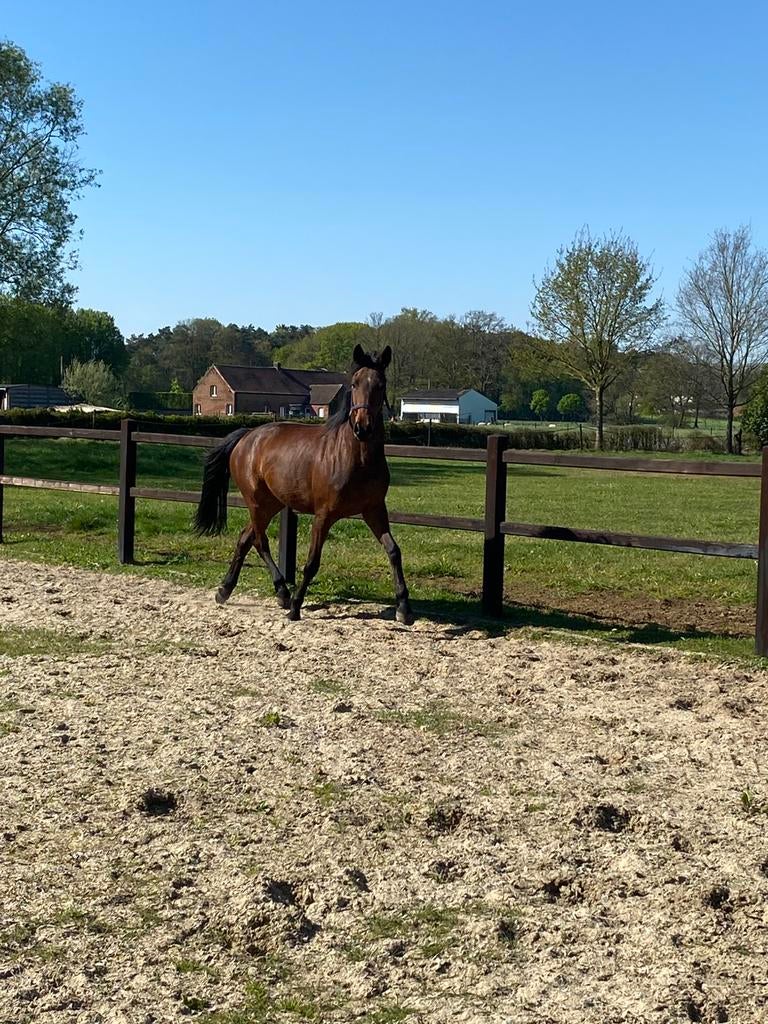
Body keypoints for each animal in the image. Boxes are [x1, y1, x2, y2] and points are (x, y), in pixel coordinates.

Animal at [193, 344, 414, 624]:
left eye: (381, 384)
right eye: (354, 383)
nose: (362, 427)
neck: (356, 458)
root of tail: (247, 436)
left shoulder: (374, 510)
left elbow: (394, 551)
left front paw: (404, 608)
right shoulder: (324, 515)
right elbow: (311, 562)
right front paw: (296, 607)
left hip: (272, 503)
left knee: (245, 538)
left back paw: (227, 590)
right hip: (256, 502)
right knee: (260, 541)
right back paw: (283, 594)